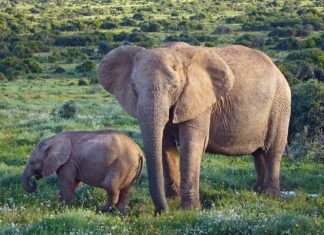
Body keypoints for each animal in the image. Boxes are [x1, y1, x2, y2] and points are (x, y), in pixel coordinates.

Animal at [97, 41, 292, 213]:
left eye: (174, 87)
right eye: (134, 87)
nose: (161, 212)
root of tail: (277, 69)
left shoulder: (200, 100)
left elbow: (191, 144)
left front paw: (188, 210)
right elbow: (165, 145)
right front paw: (172, 200)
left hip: (280, 103)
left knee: (273, 150)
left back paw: (269, 196)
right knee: (258, 153)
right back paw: (257, 192)